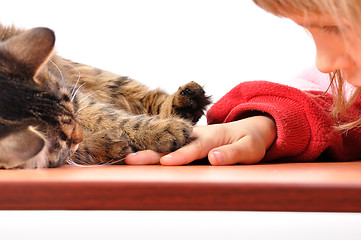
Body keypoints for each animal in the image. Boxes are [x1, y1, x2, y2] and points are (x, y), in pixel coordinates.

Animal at [0, 24, 211, 169]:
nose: (80, 133)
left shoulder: (76, 97)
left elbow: (114, 119)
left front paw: (160, 130)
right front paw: (106, 145)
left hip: (96, 78)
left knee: (145, 96)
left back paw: (185, 104)